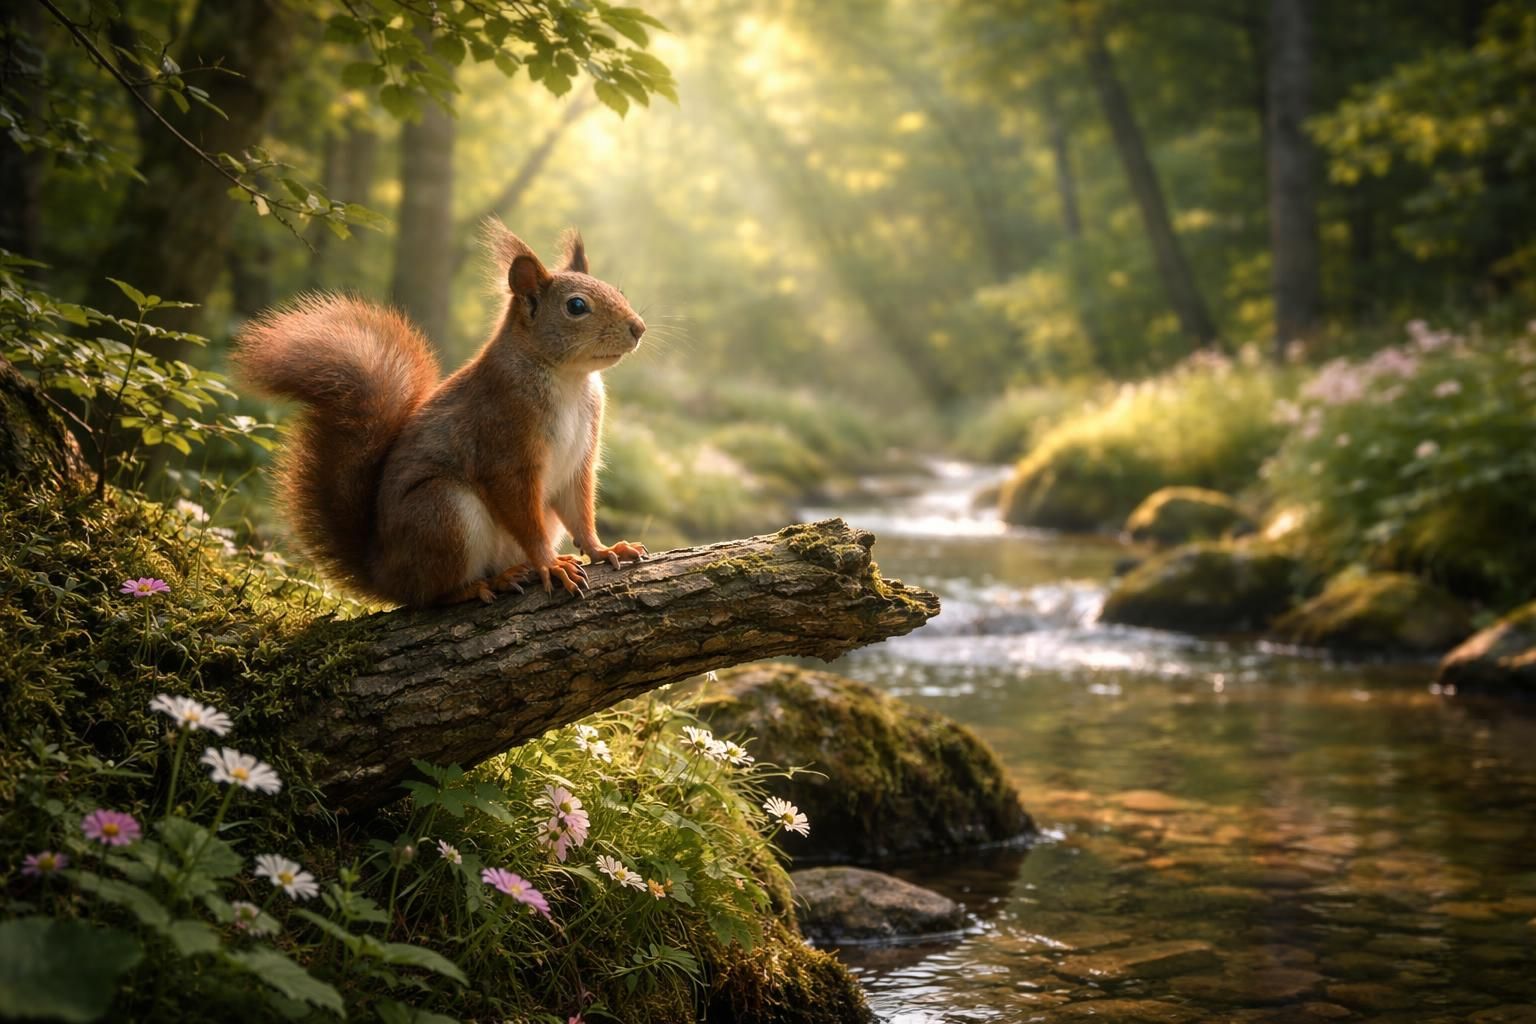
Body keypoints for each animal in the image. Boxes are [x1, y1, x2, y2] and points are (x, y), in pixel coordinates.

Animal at [233, 221, 648, 607]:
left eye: (619, 292)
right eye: (576, 306)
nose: (638, 328)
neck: (570, 379)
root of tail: (384, 572)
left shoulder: (581, 457)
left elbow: (580, 511)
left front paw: (604, 550)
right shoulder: (503, 440)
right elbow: (524, 517)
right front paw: (551, 564)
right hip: (443, 513)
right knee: (432, 594)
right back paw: (484, 585)